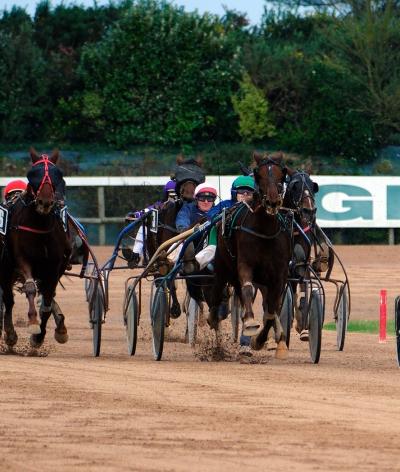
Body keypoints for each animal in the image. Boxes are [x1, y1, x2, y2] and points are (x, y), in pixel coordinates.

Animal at [0, 149, 71, 348]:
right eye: (32, 174)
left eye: (58, 174)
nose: (45, 202)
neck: (40, 227)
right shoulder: (22, 259)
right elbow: (30, 288)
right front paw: (32, 322)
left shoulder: (54, 267)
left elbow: (46, 301)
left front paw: (39, 337)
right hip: (6, 268)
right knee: (8, 299)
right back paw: (10, 334)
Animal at [208, 151, 292, 358]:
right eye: (258, 174)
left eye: (282, 174)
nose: (272, 201)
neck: (265, 231)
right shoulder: (245, 264)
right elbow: (247, 289)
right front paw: (250, 323)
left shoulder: (279, 273)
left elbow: (272, 309)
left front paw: (259, 340)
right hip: (222, 265)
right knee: (217, 294)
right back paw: (214, 321)